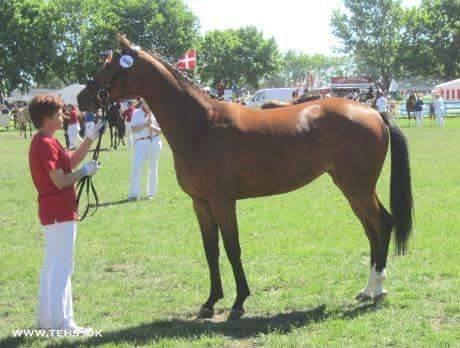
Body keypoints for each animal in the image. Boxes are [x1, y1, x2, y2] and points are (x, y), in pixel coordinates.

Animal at [78, 36, 414, 320]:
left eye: (111, 66)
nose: (82, 98)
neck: (201, 125)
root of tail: (373, 112)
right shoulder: (201, 203)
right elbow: (211, 250)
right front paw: (210, 302)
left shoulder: (223, 201)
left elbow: (232, 247)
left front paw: (238, 303)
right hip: (351, 189)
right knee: (372, 231)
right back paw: (368, 289)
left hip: (358, 188)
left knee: (383, 224)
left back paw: (378, 290)